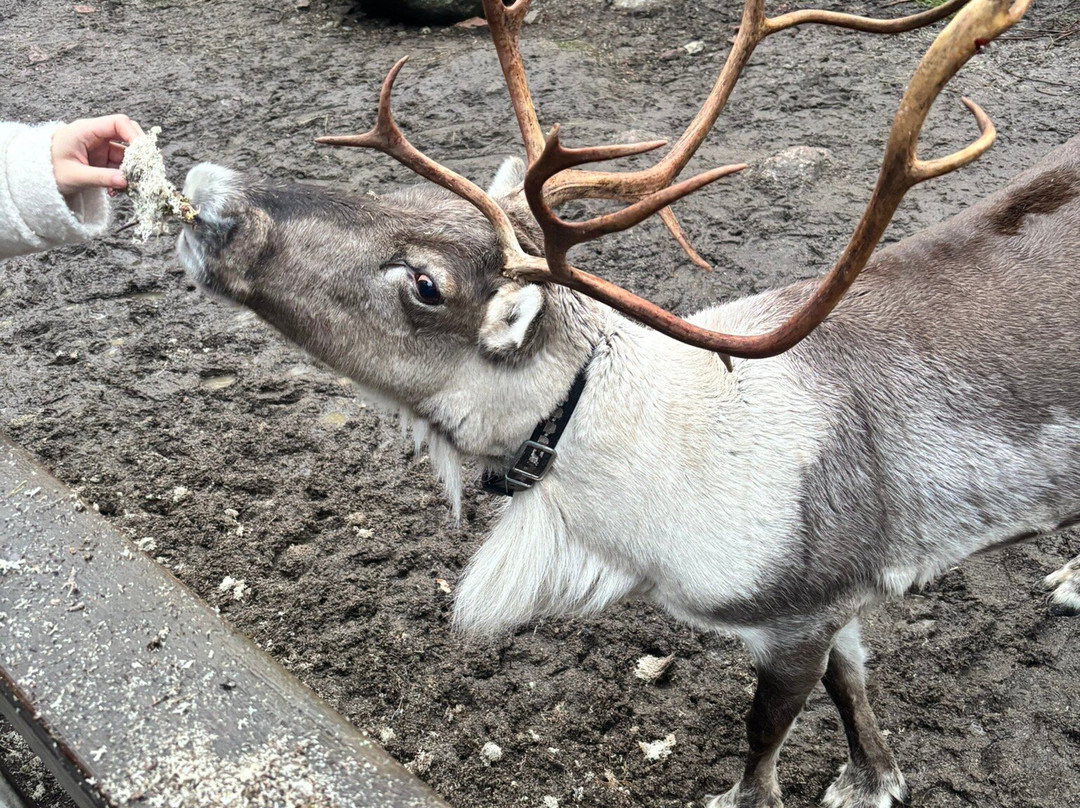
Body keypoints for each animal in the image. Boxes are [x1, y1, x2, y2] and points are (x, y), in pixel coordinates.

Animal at [174, 0, 1080, 804]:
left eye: (426, 283)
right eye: (410, 202)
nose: (208, 189)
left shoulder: (798, 613)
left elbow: (765, 731)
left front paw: (758, 797)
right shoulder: (837, 603)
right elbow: (851, 687)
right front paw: (874, 778)